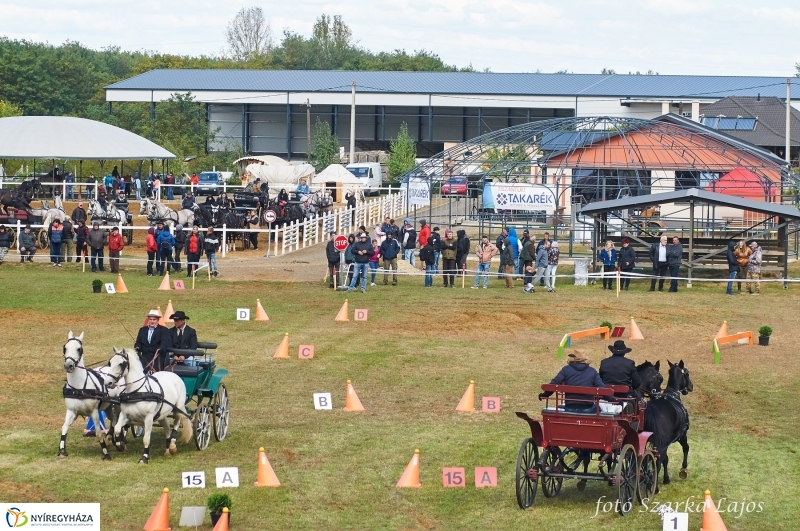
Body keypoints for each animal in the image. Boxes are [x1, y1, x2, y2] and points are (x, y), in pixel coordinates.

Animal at [59, 332, 119, 462]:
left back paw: (118, 442)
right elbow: (64, 427)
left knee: (117, 422)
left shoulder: (94, 412)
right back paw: (111, 439)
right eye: (65, 347)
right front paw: (62, 451)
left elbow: (98, 433)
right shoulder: (71, 411)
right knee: (113, 421)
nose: (68, 365)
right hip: (108, 407)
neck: (79, 388)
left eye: (79, 349)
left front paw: (105, 453)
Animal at [640, 360, 692, 492]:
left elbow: (666, 460)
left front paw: (666, 478)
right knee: (657, 462)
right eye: (687, 373)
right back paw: (655, 487)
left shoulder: (665, 443)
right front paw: (683, 469)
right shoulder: (681, 435)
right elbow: (686, 448)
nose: (691, 386)